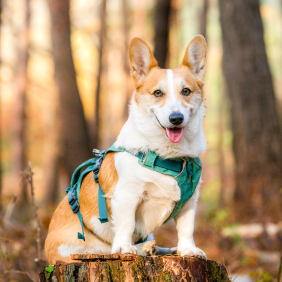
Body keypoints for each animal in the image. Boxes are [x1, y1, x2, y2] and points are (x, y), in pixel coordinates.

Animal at [45, 34, 207, 264]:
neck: (166, 156)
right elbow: (127, 225)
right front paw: (124, 248)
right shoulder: (127, 195)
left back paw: (158, 248)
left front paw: (188, 250)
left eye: (186, 91)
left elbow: (186, 229)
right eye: (158, 93)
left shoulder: (189, 202)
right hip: (74, 248)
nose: (176, 118)